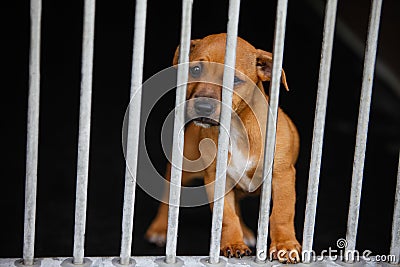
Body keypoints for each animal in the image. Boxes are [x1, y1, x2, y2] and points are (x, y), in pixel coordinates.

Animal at [146, 33, 300, 264]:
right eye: (196, 70)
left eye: (234, 80)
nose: (203, 107)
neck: (239, 129)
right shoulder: (215, 179)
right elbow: (226, 216)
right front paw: (233, 243)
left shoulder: (282, 176)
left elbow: (282, 213)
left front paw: (285, 245)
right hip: (183, 170)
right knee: (168, 199)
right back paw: (160, 228)